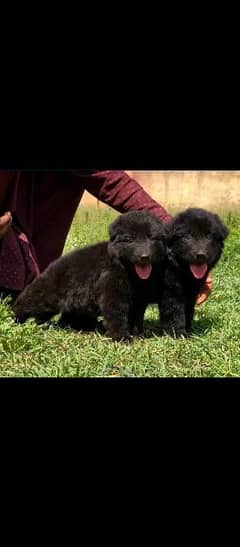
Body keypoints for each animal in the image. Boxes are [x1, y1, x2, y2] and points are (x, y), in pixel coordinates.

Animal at [12, 211, 167, 342]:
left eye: (152, 237)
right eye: (130, 240)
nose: (144, 257)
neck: (127, 269)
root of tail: (51, 266)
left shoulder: (139, 298)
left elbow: (136, 316)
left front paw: (137, 333)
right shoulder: (112, 289)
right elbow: (116, 313)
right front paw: (121, 337)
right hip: (44, 295)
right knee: (26, 304)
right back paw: (13, 319)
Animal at [159, 207, 229, 338]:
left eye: (208, 236)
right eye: (188, 236)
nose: (200, 255)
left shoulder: (192, 293)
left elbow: (189, 311)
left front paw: (190, 331)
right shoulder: (172, 293)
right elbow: (176, 314)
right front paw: (179, 334)